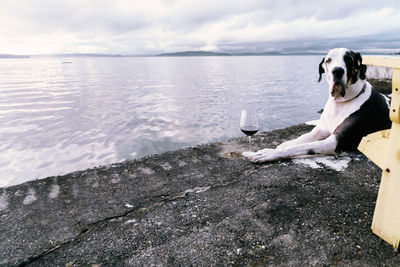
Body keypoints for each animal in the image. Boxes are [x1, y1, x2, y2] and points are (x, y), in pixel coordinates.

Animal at [250, 47, 390, 163]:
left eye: (348, 59)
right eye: (328, 60)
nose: (337, 71)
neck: (340, 103)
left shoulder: (335, 141)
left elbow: (301, 147)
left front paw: (268, 153)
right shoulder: (321, 129)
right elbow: (303, 138)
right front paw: (285, 144)